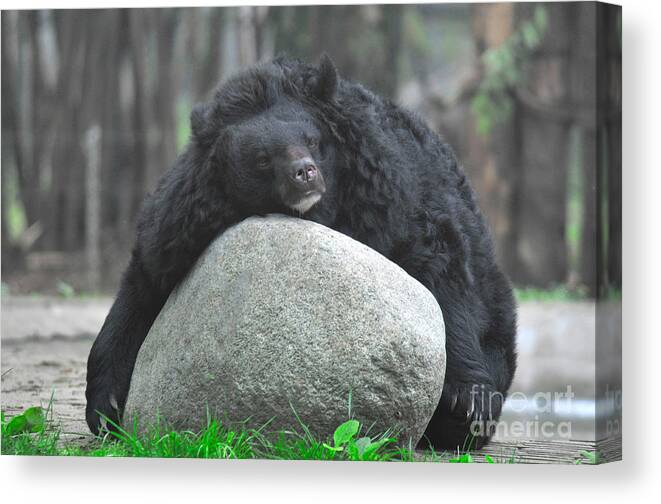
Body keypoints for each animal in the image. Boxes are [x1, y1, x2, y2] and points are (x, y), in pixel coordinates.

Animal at [85, 55, 516, 448]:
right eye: (262, 158)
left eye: (312, 141)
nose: (305, 173)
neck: (320, 212)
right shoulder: (186, 219)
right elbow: (146, 282)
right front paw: (105, 407)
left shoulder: (394, 201)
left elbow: (441, 275)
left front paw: (468, 405)